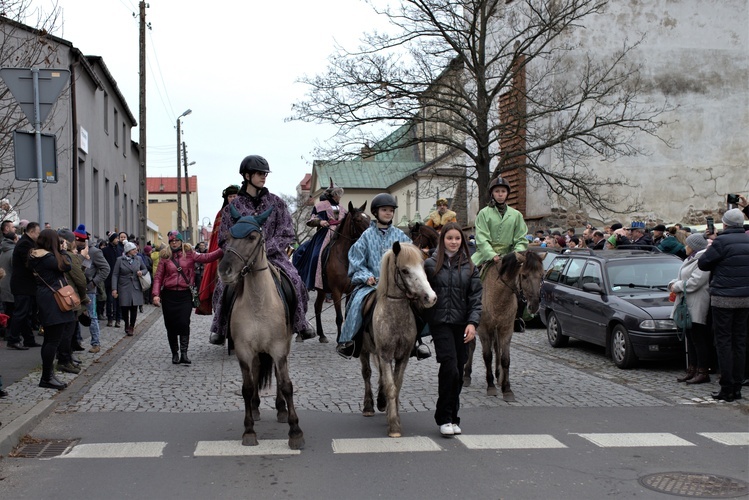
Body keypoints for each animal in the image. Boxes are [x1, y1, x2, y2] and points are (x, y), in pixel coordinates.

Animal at [216, 206, 304, 450]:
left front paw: (295, 431)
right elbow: (246, 387)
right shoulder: (244, 350)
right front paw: (249, 431)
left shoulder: (278, 348)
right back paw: (255, 407)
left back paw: (281, 409)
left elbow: (286, 384)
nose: (224, 270)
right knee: (256, 371)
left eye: (252, 237)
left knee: (276, 375)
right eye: (228, 237)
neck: (258, 301)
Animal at [310, 201, 368, 342]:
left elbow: (347, 315)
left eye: (369, 218)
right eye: (357, 220)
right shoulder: (336, 292)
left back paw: (322, 335)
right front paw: (339, 341)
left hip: (322, 290)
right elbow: (339, 317)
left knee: (317, 307)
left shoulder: (350, 290)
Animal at [360, 240, 436, 436]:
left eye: (423, 267)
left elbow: (397, 384)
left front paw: (394, 415)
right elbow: (390, 386)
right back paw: (369, 406)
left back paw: (382, 402)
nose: (431, 298)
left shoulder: (403, 356)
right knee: (367, 373)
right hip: (364, 351)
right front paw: (394, 425)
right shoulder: (386, 355)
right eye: (405, 270)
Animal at [462, 250, 544, 402]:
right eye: (524, 275)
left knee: (496, 346)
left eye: (542, 275)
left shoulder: (506, 329)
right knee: (472, 345)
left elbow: (505, 358)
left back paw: (498, 375)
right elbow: (487, 356)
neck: (498, 294)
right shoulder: (484, 329)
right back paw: (466, 376)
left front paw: (507, 388)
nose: (535, 305)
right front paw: (490, 386)